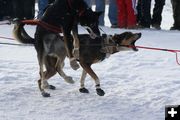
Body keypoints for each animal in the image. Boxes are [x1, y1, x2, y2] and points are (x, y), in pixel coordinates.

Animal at [13, 22, 141, 97]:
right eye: (129, 34)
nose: (139, 33)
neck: (104, 44)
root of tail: (39, 41)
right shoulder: (85, 63)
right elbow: (96, 77)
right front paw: (99, 89)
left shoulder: (87, 65)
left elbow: (84, 77)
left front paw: (82, 88)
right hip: (55, 65)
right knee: (41, 78)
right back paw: (44, 92)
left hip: (52, 67)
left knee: (42, 75)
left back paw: (48, 85)